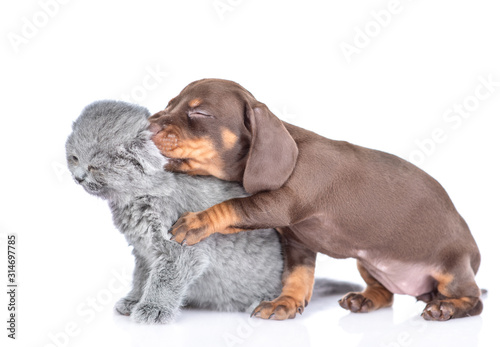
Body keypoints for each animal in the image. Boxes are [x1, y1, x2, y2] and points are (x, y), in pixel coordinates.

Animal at [65, 100, 360, 324]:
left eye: (95, 167)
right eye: (74, 158)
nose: (78, 178)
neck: (138, 198)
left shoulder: (179, 251)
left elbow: (163, 281)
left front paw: (153, 309)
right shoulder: (144, 251)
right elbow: (141, 277)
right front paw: (134, 300)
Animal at [147, 78, 480, 320]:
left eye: (200, 112)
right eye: (169, 104)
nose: (149, 124)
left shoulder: (278, 205)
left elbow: (233, 206)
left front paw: (197, 221)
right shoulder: (297, 242)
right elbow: (298, 276)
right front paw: (285, 303)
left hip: (451, 270)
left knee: (474, 301)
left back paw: (446, 308)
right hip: (367, 263)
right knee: (387, 293)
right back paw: (366, 299)